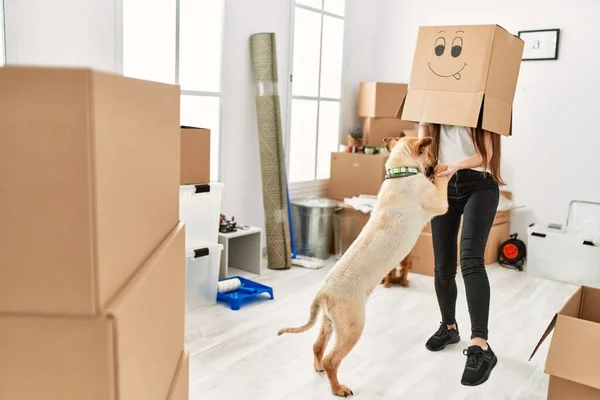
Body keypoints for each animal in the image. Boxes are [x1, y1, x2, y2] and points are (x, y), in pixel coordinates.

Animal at [276, 135, 450, 396]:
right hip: (352, 329)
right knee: (332, 360)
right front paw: (443, 171)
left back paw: (318, 367)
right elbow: (442, 186)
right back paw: (338, 388)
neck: (400, 171)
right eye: (430, 153)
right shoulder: (439, 204)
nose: (436, 161)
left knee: (317, 347)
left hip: (329, 324)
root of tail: (324, 292)